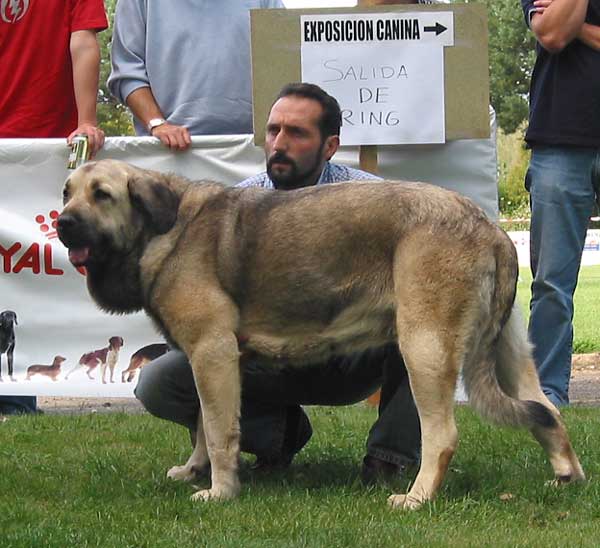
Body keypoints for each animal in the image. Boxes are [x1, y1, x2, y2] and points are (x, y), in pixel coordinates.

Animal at [56, 159, 580, 510]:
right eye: (66, 192)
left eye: (102, 194)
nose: (62, 223)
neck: (163, 230)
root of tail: (489, 227)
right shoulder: (207, 360)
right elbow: (203, 426)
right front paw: (193, 471)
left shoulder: (213, 352)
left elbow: (221, 431)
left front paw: (221, 491)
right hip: (509, 352)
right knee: (546, 410)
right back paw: (564, 476)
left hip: (423, 346)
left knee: (443, 434)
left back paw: (416, 497)